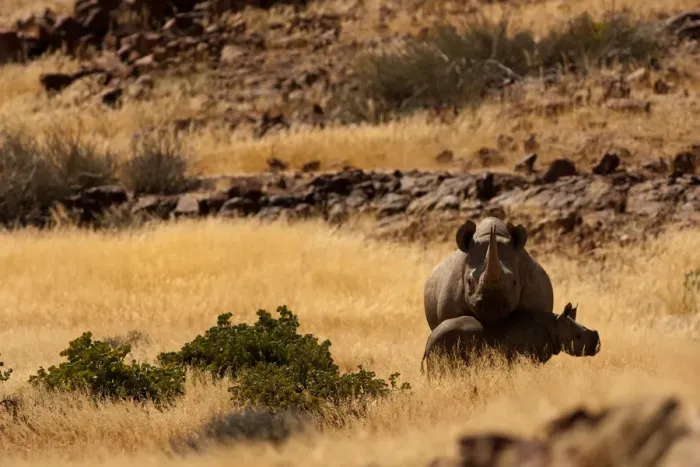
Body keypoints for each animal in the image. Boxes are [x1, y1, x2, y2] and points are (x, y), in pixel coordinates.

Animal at [420, 303, 601, 375]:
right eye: (578, 337)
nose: (597, 348)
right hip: (443, 342)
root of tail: (429, 339)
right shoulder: (530, 357)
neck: (554, 325)